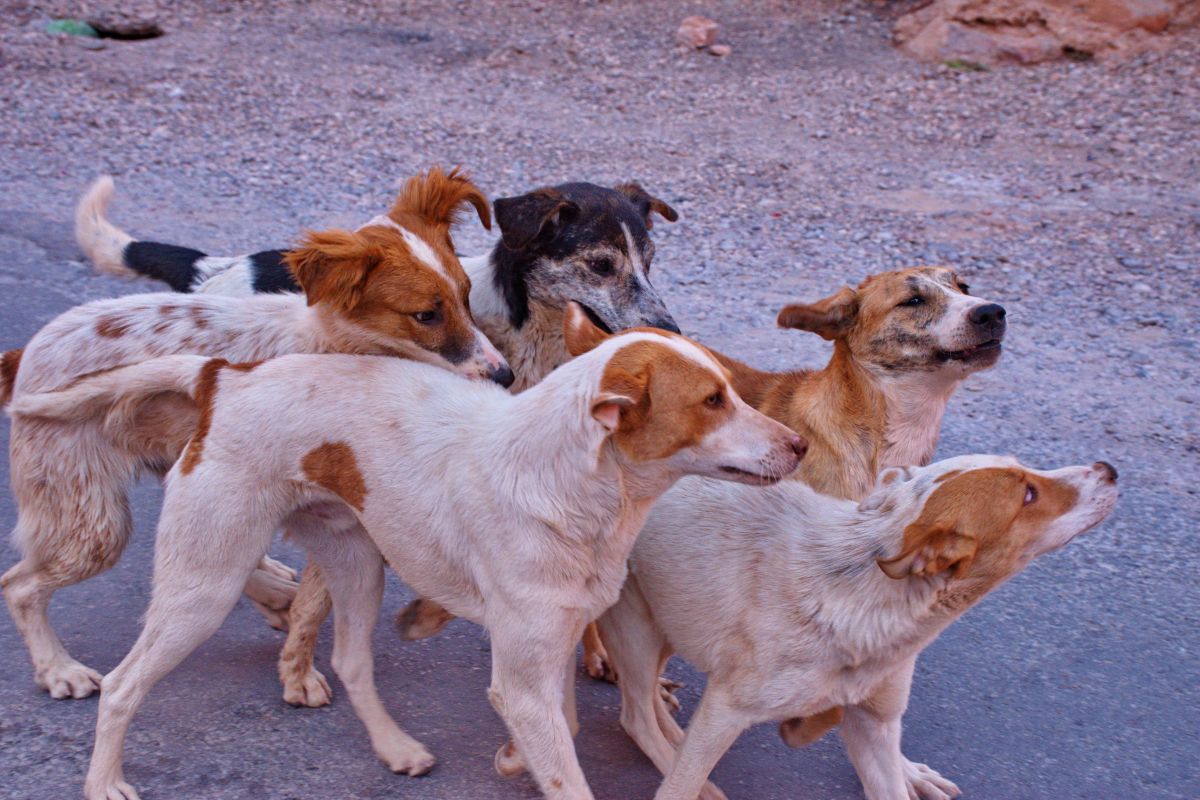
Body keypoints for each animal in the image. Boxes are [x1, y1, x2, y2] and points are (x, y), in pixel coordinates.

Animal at [0, 167, 511, 700]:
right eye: (425, 315)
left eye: (466, 295)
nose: (505, 376)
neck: (335, 345)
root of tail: (24, 353)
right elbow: (319, 599)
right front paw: (300, 675)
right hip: (94, 520)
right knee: (18, 585)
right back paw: (58, 667)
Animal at [11, 304, 806, 800]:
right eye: (711, 401)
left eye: (733, 389)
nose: (799, 446)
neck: (571, 487)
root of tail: (225, 378)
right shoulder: (522, 677)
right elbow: (567, 767)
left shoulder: (550, 653)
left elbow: (570, 727)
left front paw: (513, 757)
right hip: (203, 585)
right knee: (118, 680)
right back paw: (99, 772)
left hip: (358, 564)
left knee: (351, 661)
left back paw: (394, 747)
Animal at [75, 173, 691, 695]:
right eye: (601, 264)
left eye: (650, 262)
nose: (670, 329)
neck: (531, 343)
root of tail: (219, 268)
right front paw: (299, 668)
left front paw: (601, 653)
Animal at [604, 455, 1118, 800]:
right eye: (1028, 495)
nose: (1109, 469)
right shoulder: (724, 711)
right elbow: (679, 782)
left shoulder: (872, 723)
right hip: (638, 624)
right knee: (635, 716)